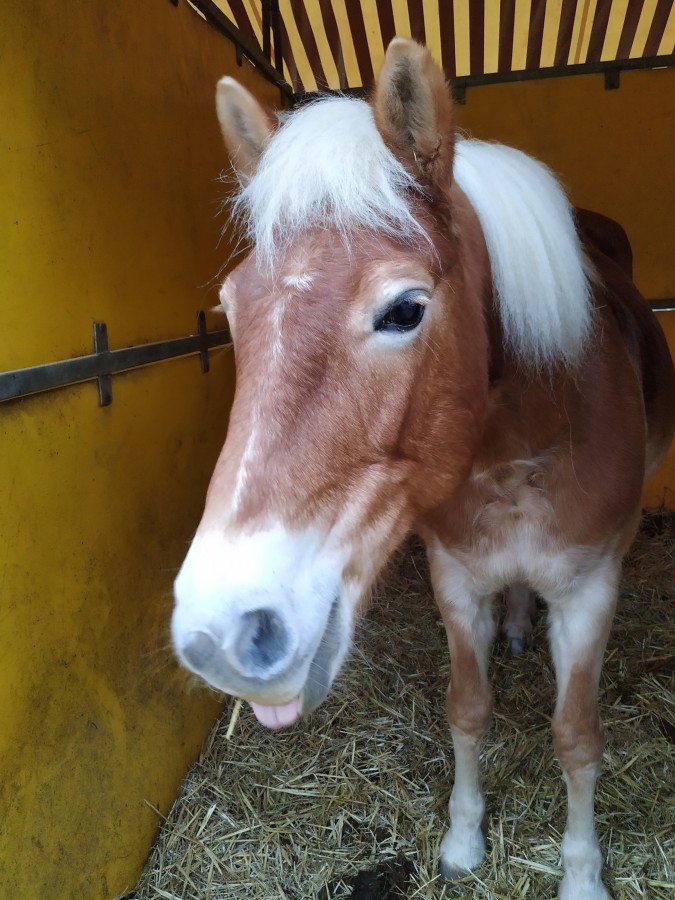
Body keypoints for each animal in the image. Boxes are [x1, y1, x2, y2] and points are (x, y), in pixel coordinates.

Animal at [170, 37, 675, 900]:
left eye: (404, 310)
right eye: (233, 312)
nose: (220, 634)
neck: (516, 455)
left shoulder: (589, 591)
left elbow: (576, 737)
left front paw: (580, 874)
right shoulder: (456, 578)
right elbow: (466, 710)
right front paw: (463, 841)